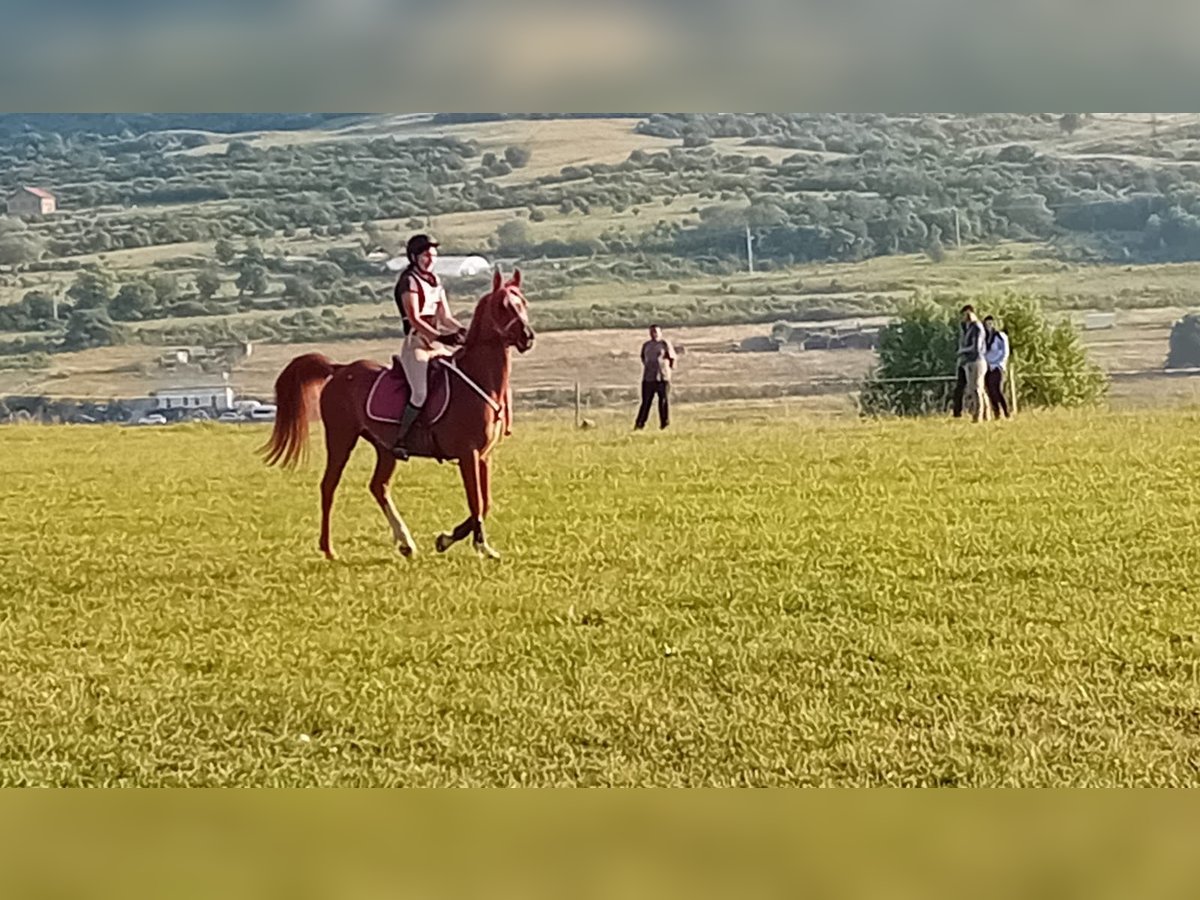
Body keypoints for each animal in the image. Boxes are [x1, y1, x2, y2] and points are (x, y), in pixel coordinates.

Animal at [262, 270, 535, 564]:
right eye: (503, 306)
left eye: (523, 303)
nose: (528, 337)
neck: (479, 379)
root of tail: (339, 369)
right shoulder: (468, 453)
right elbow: (477, 502)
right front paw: (480, 546)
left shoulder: (484, 456)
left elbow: (485, 503)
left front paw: (447, 539)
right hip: (341, 438)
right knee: (329, 486)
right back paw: (329, 548)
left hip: (385, 449)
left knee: (378, 486)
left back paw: (405, 543)